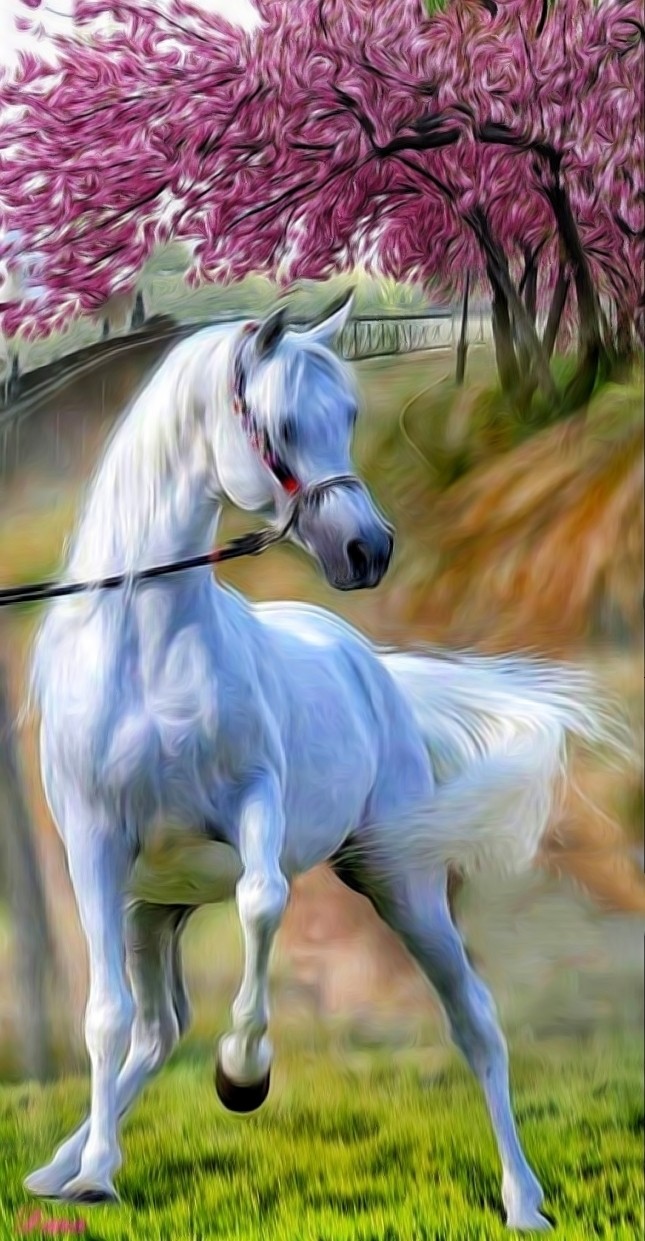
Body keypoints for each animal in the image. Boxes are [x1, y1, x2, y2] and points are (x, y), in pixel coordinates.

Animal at [24, 291, 619, 1229]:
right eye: (276, 427)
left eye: (346, 415)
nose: (368, 550)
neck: (147, 660)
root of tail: (371, 664)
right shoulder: (96, 849)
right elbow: (106, 1017)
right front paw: (92, 1176)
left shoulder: (253, 806)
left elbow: (263, 902)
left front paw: (243, 1073)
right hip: (155, 906)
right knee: (155, 1029)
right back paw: (64, 1163)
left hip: (400, 882)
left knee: (474, 1018)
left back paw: (523, 1200)